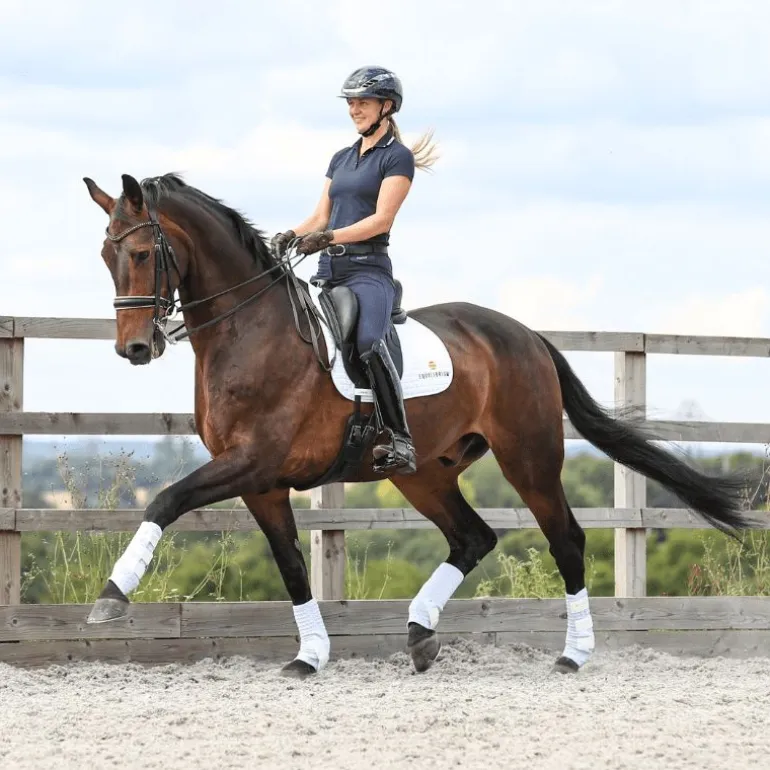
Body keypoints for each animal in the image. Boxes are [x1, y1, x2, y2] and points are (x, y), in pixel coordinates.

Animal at [82, 172, 757, 677]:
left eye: (142, 253)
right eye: (106, 255)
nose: (134, 348)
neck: (250, 331)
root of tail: (526, 335)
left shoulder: (254, 462)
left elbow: (166, 500)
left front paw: (111, 599)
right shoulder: (261, 482)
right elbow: (291, 564)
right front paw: (310, 656)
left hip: (529, 458)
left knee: (564, 538)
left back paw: (573, 655)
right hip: (424, 471)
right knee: (472, 538)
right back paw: (419, 633)